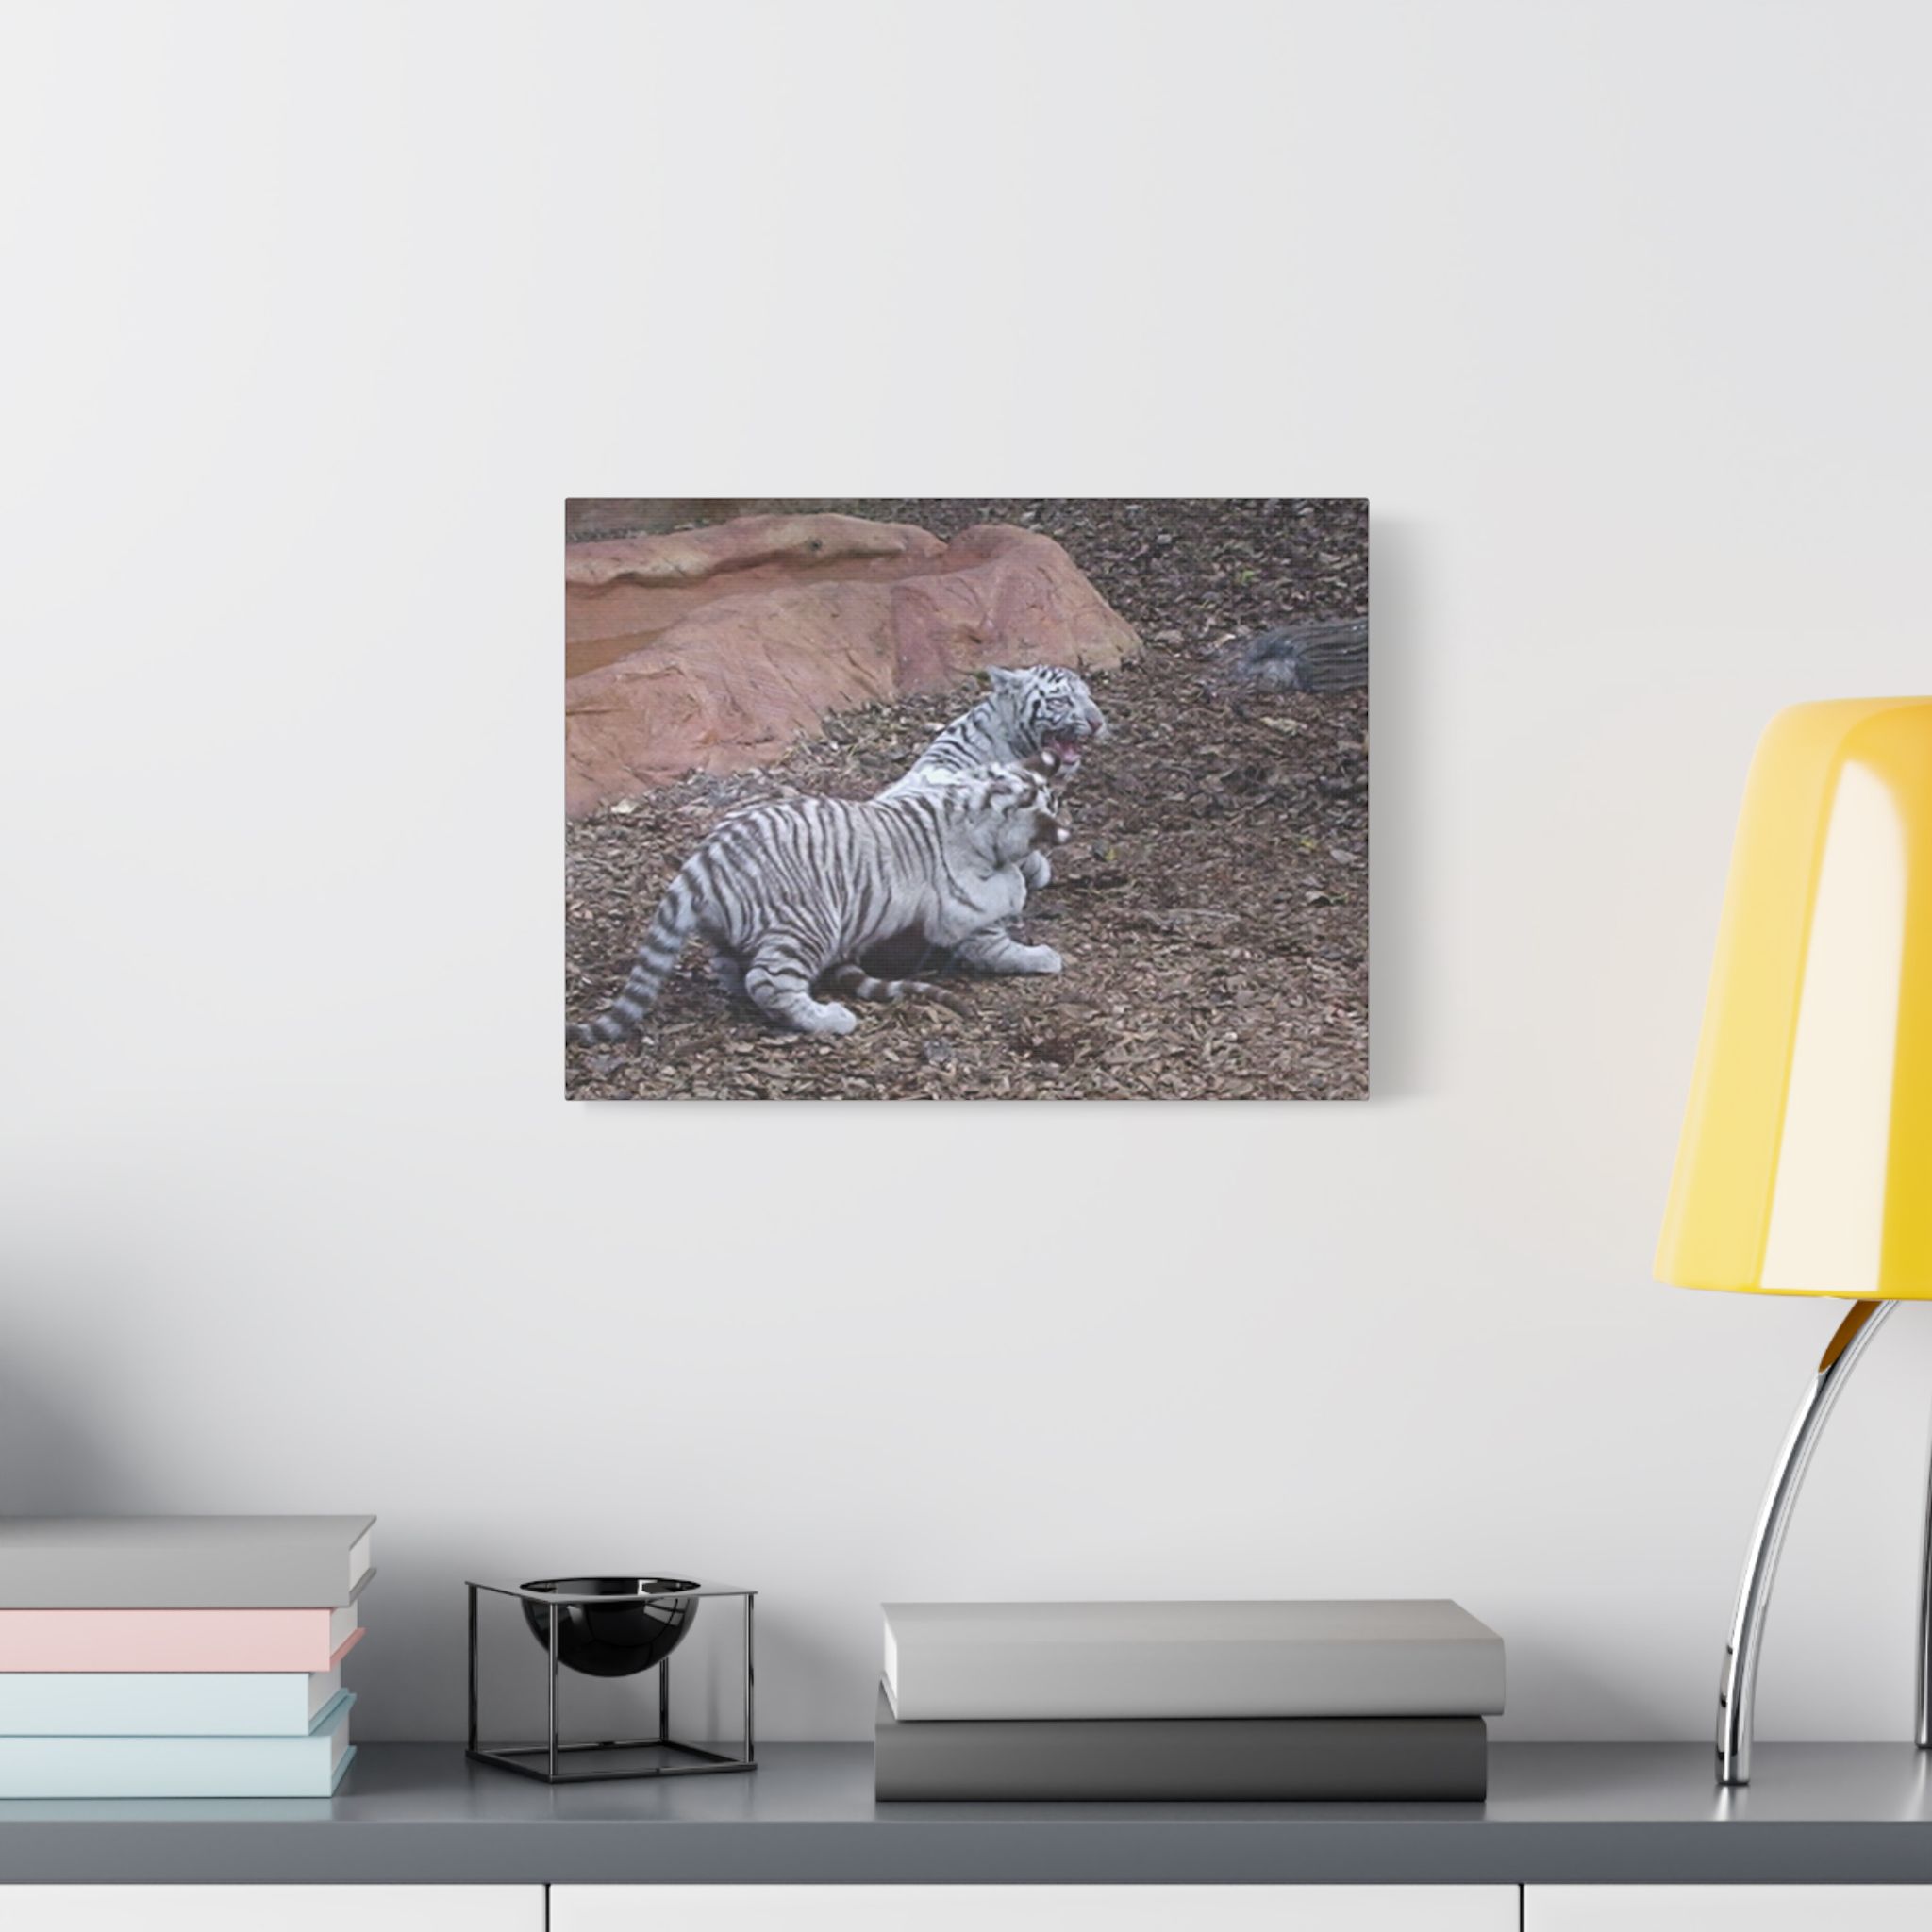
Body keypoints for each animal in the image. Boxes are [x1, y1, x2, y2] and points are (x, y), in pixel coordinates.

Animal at [568, 765, 1070, 1045]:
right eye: (1050, 806)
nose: (1066, 831)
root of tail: (706, 858)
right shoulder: (969, 915)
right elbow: (1001, 944)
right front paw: (1043, 955)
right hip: (809, 925)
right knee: (768, 982)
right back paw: (829, 1018)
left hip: (736, 933)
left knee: (734, 972)